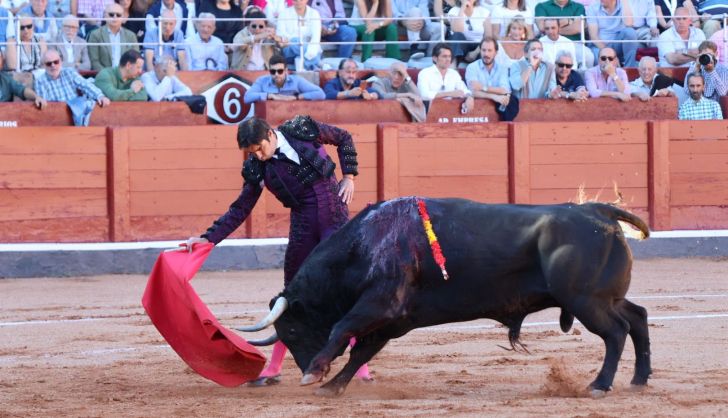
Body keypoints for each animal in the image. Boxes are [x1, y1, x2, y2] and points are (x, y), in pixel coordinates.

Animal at [242, 198, 652, 396]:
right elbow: (361, 351)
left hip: (586, 301)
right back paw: (639, 379)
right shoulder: (394, 320)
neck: (366, 243)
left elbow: (342, 328)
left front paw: (317, 373)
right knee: (637, 318)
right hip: (605, 298)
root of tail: (597, 210)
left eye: (292, 331)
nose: (304, 365)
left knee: (616, 332)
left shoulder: (381, 304)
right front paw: (332, 386)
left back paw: (599, 385)